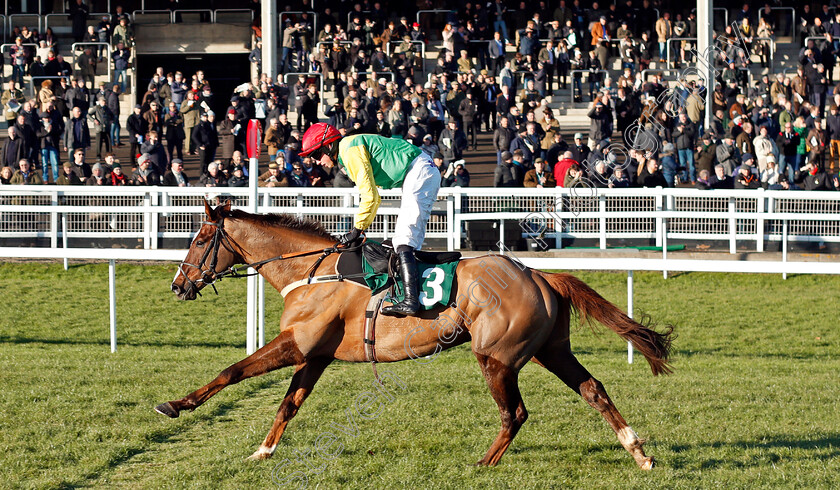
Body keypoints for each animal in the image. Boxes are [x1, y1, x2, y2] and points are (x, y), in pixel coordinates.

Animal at [158, 201, 672, 468]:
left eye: (199, 240)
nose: (178, 285)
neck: (310, 271)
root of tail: (540, 274)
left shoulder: (296, 344)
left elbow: (231, 371)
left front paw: (177, 405)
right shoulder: (315, 355)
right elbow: (289, 403)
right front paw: (263, 450)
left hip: (497, 356)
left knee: (517, 412)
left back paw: (484, 464)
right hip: (550, 349)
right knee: (594, 389)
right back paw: (639, 453)